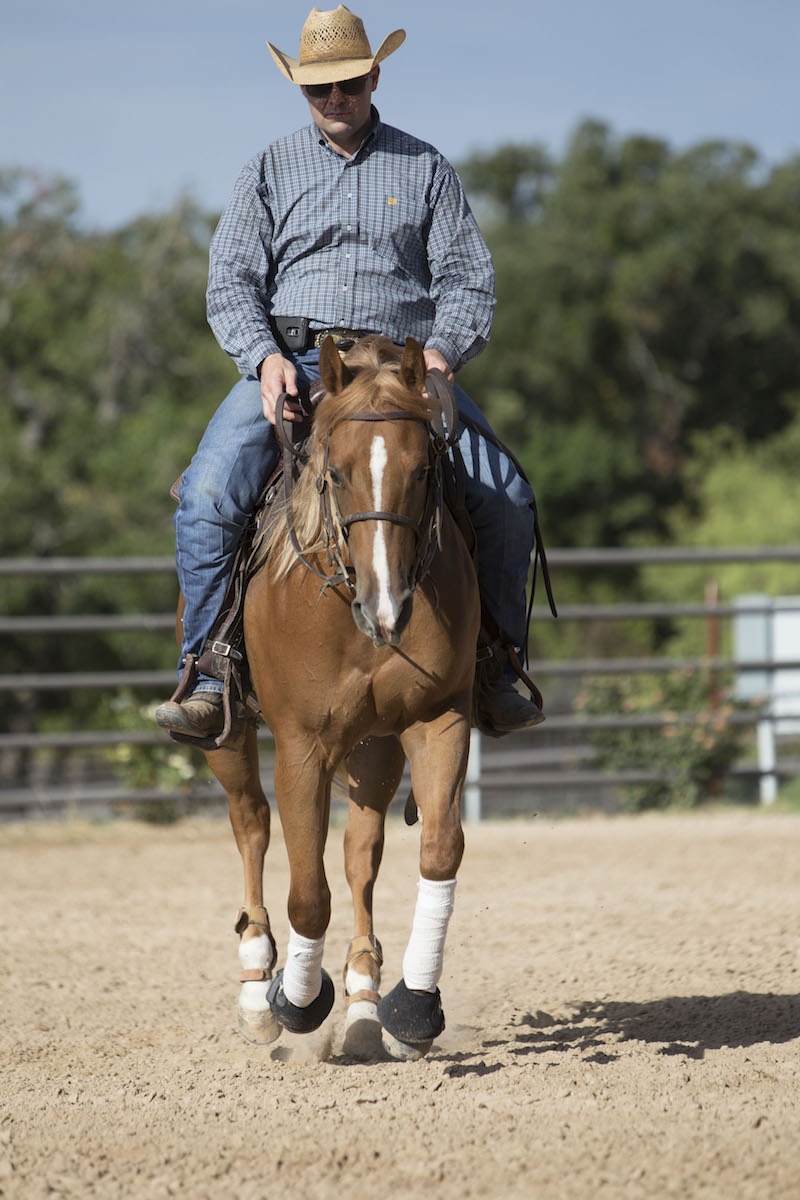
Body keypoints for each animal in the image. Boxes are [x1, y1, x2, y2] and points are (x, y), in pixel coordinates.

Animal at [203, 334, 480, 1060]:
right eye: (338, 472)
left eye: (423, 470)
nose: (389, 607)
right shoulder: (301, 746)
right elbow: (306, 891)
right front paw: (296, 1002)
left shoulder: (437, 720)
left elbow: (438, 849)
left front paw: (412, 1008)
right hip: (227, 734)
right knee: (251, 822)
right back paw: (258, 990)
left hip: (376, 746)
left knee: (361, 855)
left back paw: (361, 1007)